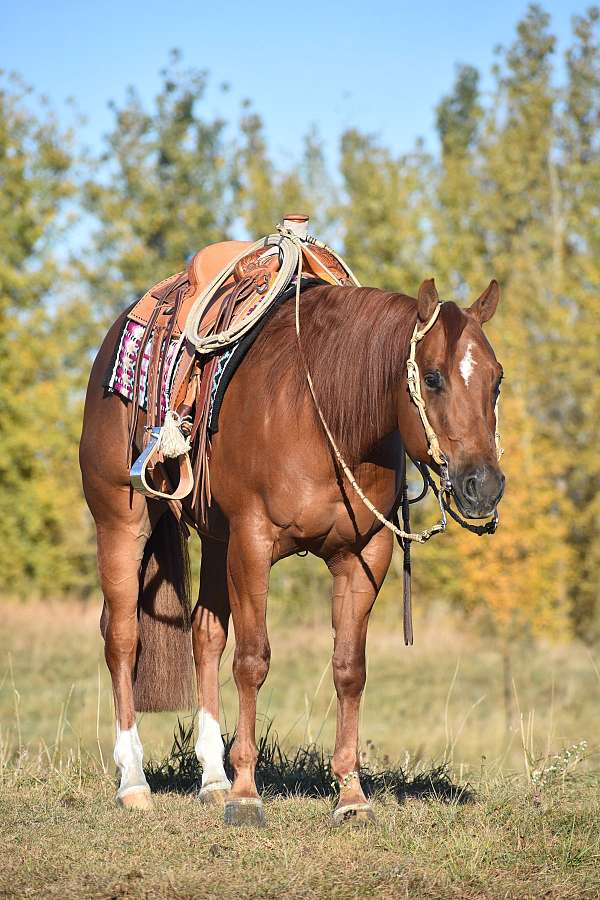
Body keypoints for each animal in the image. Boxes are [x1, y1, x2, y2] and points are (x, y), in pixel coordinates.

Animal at [77, 278, 504, 828]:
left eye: (496, 380)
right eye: (432, 378)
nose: (483, 486)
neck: (324, 413)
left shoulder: (364, 555)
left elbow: (349, 668)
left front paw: (350, 794)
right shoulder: (253, 544)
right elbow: (252, 660)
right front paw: (245, 794)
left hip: (216, 540)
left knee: (205, 636)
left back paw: (211, 778)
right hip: (121, 522)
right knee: (122, 638)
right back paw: (134, 781)